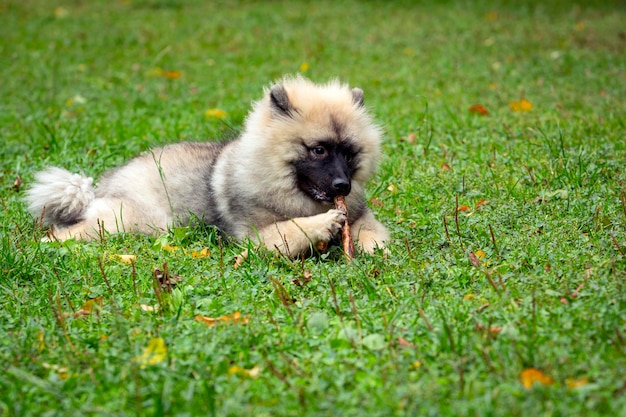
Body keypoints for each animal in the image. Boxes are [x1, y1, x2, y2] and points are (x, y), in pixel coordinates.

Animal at [26, 75, 388, 256]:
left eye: (349, 153)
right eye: (318, 150)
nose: (343, 186)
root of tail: (101, 187)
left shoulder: (361, 216)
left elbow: (373, 233)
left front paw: (372, 250)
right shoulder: (255, 237)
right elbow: (293, 228)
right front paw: (322, 223)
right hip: (133, 221)